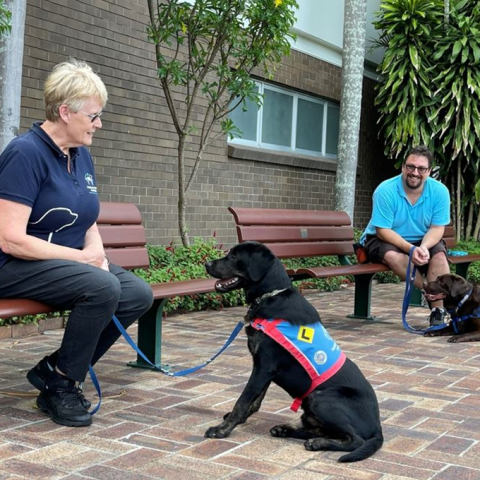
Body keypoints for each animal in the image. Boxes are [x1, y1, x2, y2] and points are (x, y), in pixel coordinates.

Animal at [202, 242, 382, 464]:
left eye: (234, 256)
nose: (206, 264)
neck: (271, 296)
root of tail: (377, 426)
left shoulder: (264, 367)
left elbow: (243, 401)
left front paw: (222, 430)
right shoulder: (262, 368)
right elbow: (255, 401)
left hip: (321, 398)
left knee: (355, 440)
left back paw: (317, 443)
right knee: (321, 430)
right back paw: (286, 431)